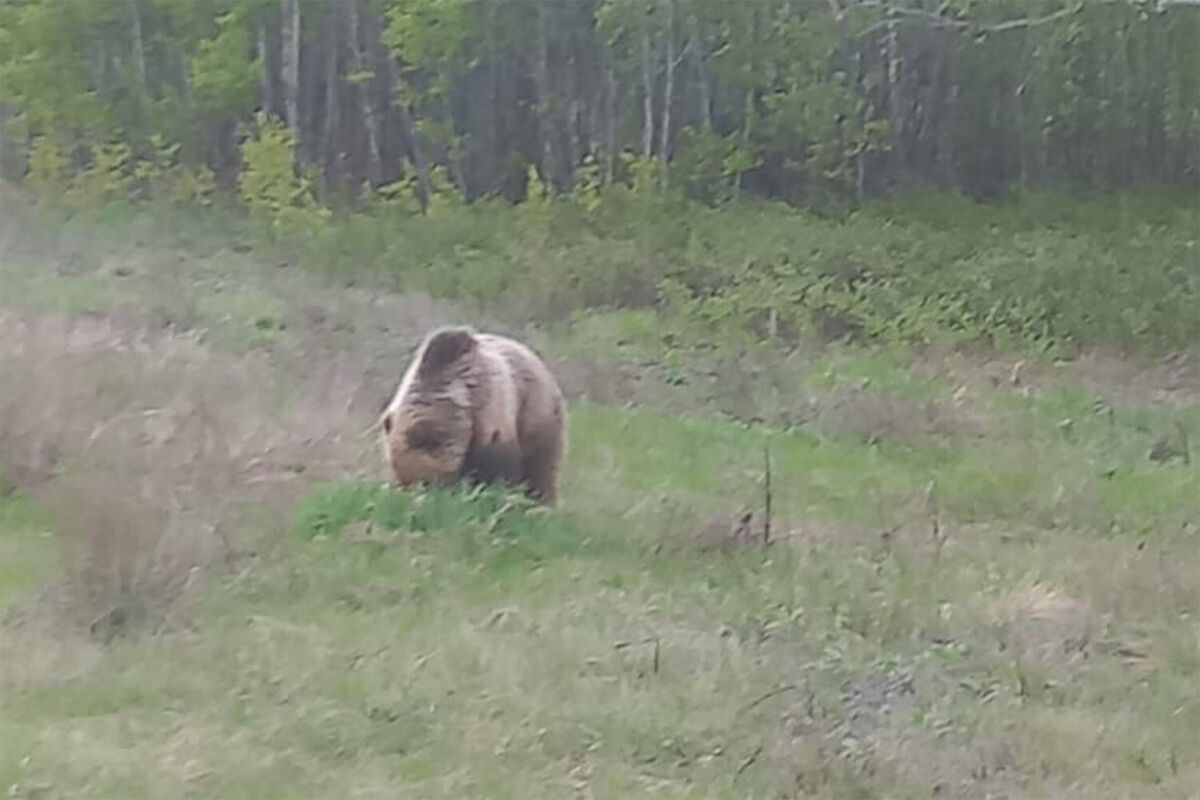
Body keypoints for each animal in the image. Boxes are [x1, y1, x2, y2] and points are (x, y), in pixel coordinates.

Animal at [379, 323, 566, 501]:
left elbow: (499, 470)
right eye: (403, 480)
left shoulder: (491, 420)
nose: (420, 492)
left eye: (429, 481)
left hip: (540, 420)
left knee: (541, 471)